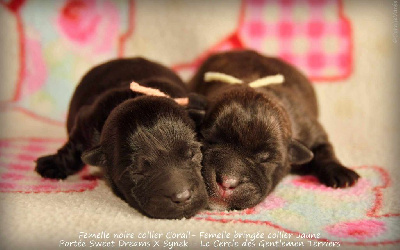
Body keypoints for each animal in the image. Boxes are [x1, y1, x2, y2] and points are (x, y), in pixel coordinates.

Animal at [35, 58, 208, 219]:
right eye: (137, 172)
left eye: (193, 154)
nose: (183, 197)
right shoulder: (86, 121)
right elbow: (73, 148)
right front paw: (52, 165)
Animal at [190, 50, 360, 211]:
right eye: (207, 140)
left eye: (266, 159)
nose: (227, 182)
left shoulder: (310, 129)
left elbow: (324, 149)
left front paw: (340, 172)